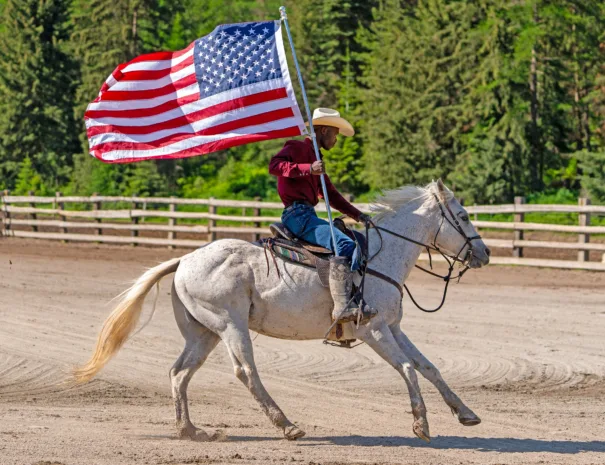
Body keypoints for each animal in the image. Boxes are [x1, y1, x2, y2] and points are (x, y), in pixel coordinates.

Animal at [73, 179, 488, 442]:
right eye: (464, 216)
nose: (484, 253)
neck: (377, 257)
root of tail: (184, 260)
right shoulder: (372, 330)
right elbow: (406, 368)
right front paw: (422, 424)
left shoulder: (394, 327)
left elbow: (428, 367)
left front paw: (465, 413)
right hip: (230, 327)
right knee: (245, 372)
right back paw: (287, 425)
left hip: (203, 334)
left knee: (179, 373)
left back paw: (190, 431)